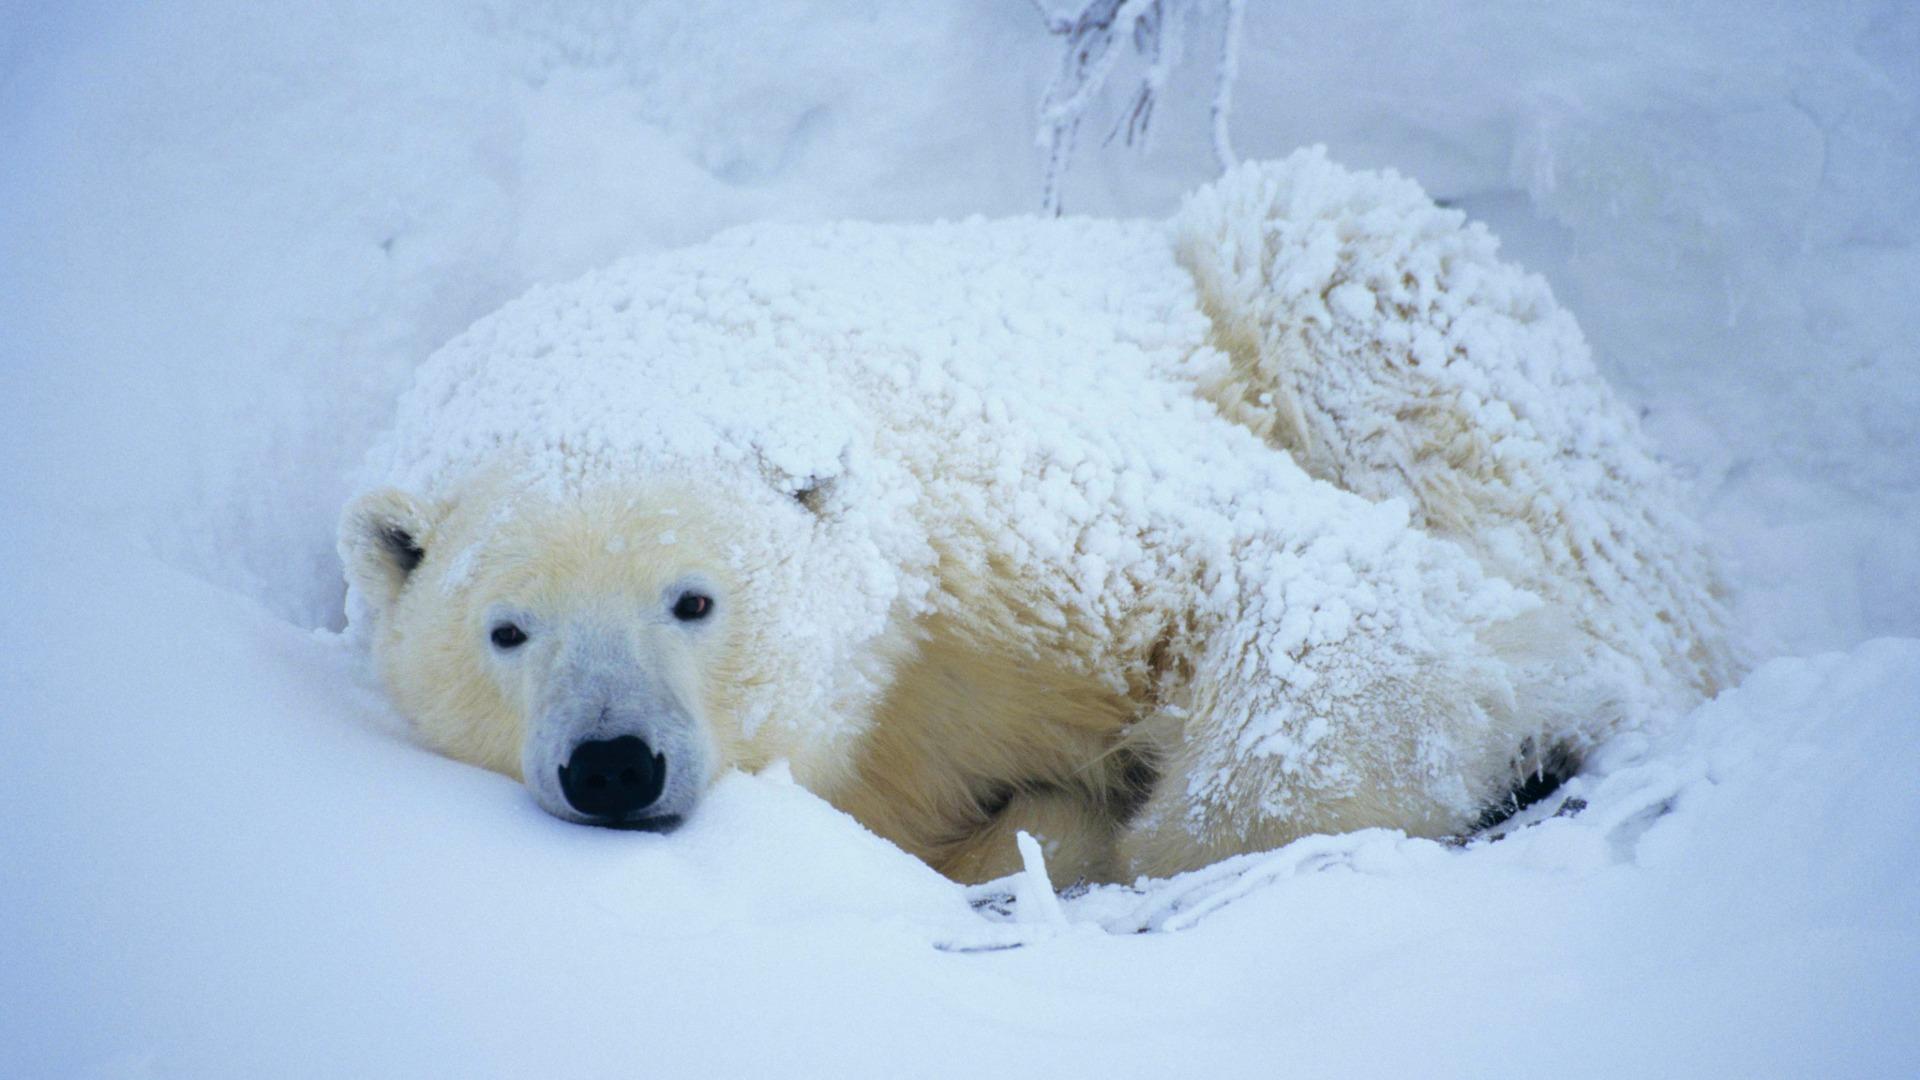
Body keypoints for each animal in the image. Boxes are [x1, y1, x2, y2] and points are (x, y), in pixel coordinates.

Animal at [340, 149, 1739, 885]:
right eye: (506, 630)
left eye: (694, 599)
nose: (614, 763)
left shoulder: (1014, 512)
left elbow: (1337, 596)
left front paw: (1124, 844)